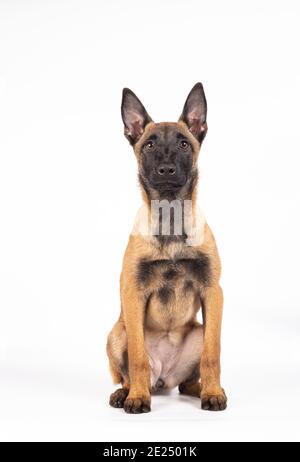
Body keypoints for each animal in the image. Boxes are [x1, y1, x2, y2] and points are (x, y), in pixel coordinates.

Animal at [106, 84, 226, 416]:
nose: (166, 169)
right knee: (129, 374)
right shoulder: (133, 295)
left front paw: (214, 393)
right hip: (116, 333)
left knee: (187, 382)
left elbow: (213, 354)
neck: (170, 219)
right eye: (149, 145)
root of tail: (163, 379)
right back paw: (126, 393)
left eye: (184, 144)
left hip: (198, 330)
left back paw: (202, 390)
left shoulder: (213, 292)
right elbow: (137, 358)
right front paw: (137, 398)